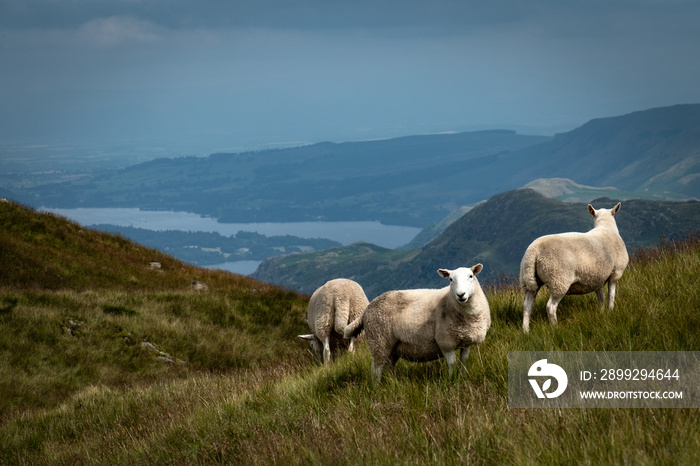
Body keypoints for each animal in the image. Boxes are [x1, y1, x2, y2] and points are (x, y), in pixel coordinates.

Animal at [344, 264, 486, 384]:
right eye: (450, 279)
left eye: (471, 276)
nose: (461, 294)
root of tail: (367, 309)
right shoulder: (446, 342)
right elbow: (452, 363)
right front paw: (452, 380)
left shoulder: (466, 342)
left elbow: (463, 361)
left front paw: (462, 377)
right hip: (379, 341)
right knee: (376, 368)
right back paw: (377, 386)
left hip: (392, 347)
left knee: (388, 366)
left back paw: (393, 383)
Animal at [520, 202, 628, 334]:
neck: (606, 227)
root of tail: (534, 250)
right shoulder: (616, 273)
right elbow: (611, 296)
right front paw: (611, 312)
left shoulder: (597, 277)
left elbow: (601, 297)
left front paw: (601, 313)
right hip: (559, 279)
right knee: (550, 307)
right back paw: (555, 328)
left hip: (528, 280)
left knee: (527, 306)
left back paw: (526, 331)